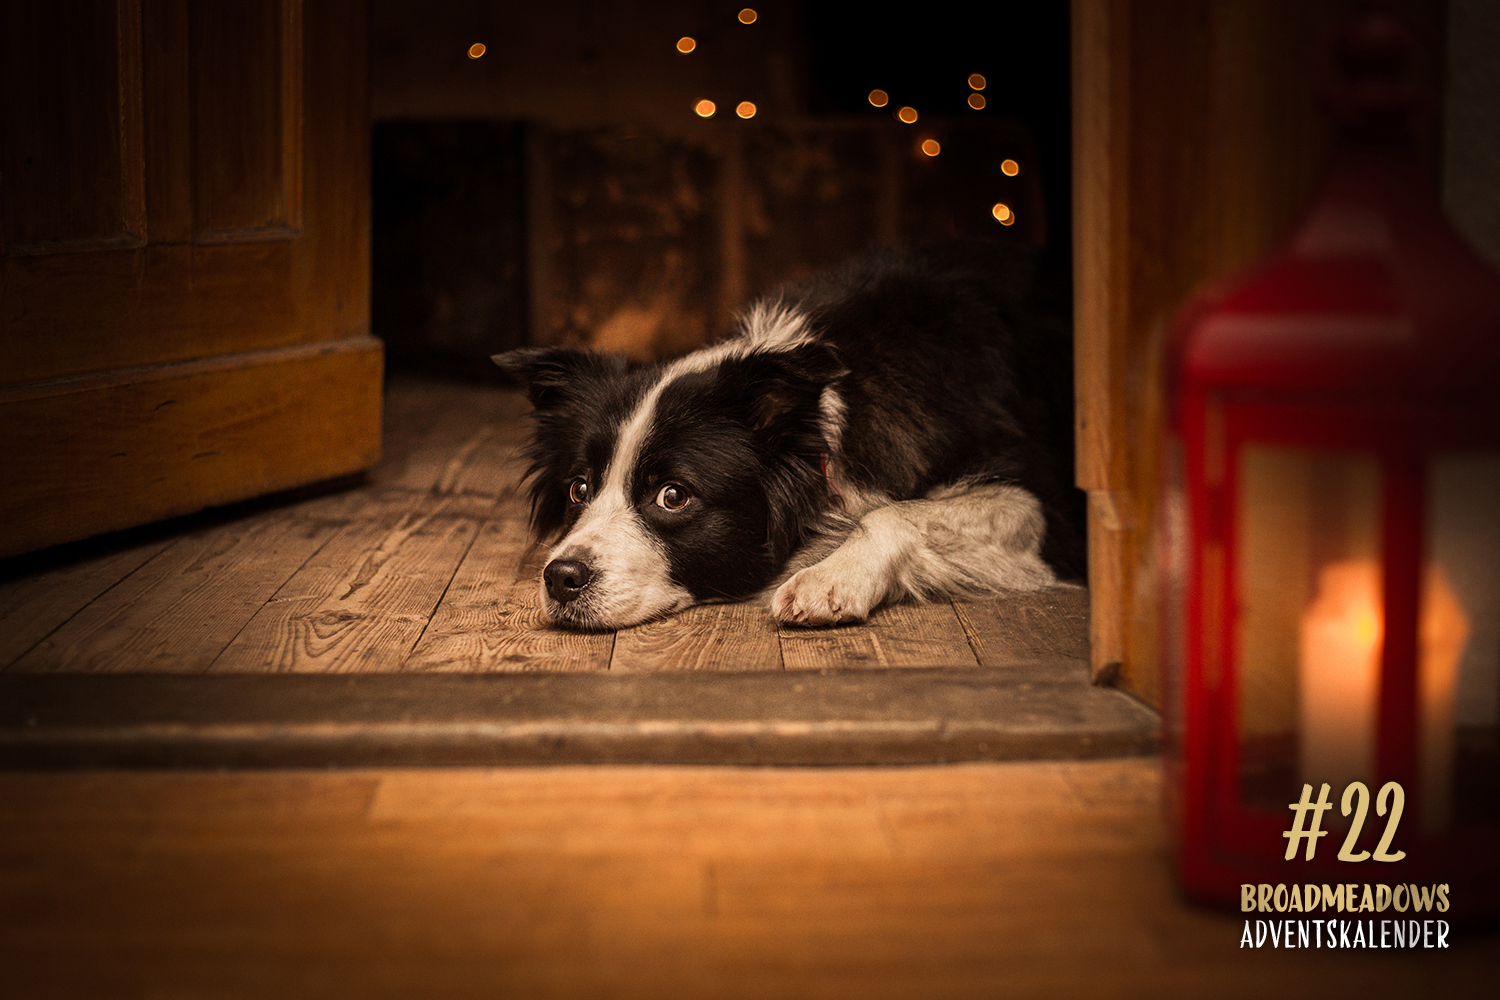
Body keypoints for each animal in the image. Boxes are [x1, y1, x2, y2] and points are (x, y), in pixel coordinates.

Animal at [498, 242, 1086, 629]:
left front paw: (830, 577)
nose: (560, 577)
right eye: (578, 489)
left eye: (672, 496)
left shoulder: (1040, 512)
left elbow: (894, 512)